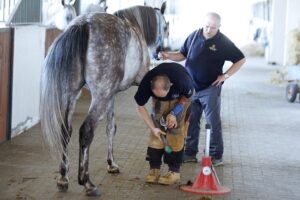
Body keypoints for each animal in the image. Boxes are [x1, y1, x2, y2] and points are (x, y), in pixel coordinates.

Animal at [39, 4, 168, 197]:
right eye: (165, 26)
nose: (160, 51)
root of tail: (83, 25)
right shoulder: (138, 84)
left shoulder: (112, 95)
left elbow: (111, 128)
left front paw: (111, 164)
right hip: (99, 97)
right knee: (86, 131)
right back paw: (87, 183)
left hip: (72, 94)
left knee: (66, 131)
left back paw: (63, 178)